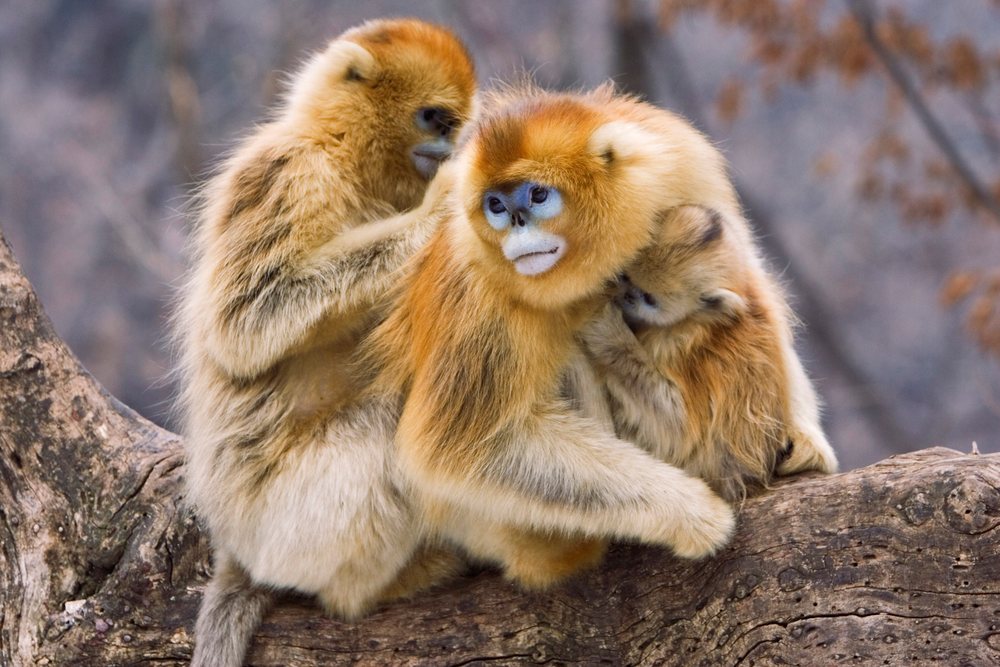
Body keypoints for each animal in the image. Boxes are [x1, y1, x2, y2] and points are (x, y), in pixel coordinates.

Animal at [174, 19, 475, 667]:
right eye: (433, 118)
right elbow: (245, 327)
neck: (342, 156)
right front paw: (444, 205)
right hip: (288, 527)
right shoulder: (293, 174)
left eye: (454, 124)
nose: (447, 148)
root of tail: (236, 549)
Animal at [362, 85, 742, 590]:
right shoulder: (476, 276)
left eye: (538, 195)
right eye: (496, 206)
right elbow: (458, 451)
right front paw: (692, 514)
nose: (516, 222)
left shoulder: (680, 161)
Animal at [581, 204, 839, 504]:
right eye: (626, 277)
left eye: (648, 298)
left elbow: (680, 433)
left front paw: (606, 331)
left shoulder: (677, 341)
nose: (626, 297)